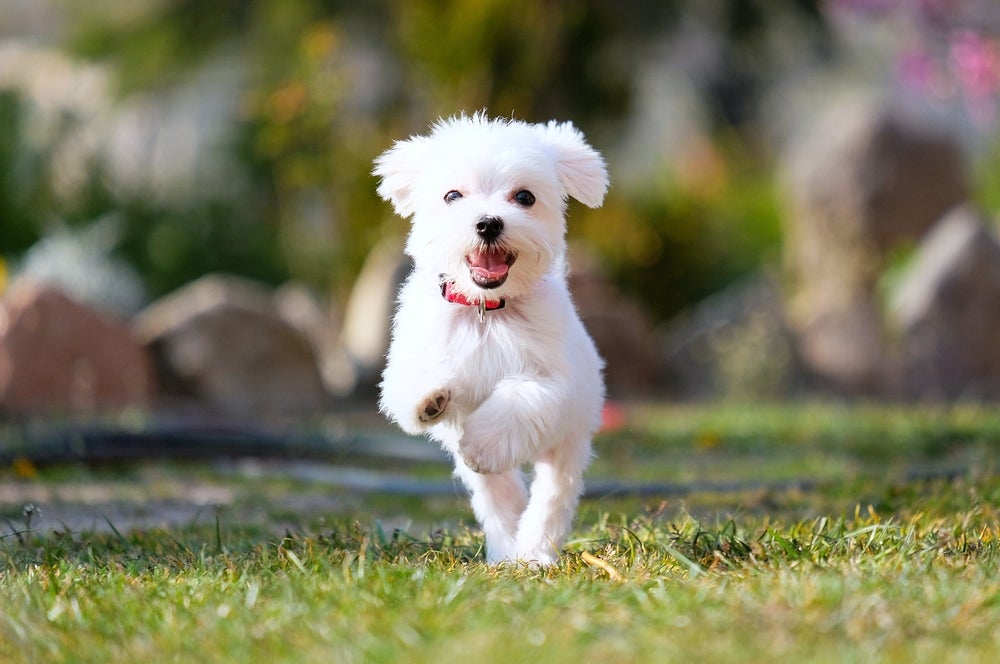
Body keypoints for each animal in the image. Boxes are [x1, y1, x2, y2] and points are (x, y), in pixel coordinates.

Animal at [374, 111, 608, 564]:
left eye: (525, 197)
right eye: (452, 196)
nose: (488, 222)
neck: (485, 310)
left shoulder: (551, 382)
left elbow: (519, 399)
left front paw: (485, 446)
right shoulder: (418, 349)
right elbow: (411, 378)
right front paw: (429, 399)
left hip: (568, 444)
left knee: (551, 497)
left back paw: (534, 552)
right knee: (499, 498)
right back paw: (505, 549)